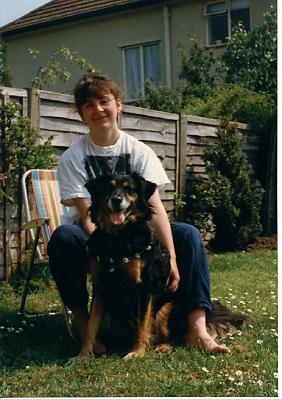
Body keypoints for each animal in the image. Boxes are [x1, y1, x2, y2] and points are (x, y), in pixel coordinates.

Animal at [75, 173, 251, 360]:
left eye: (130, 189)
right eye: (109, 187)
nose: (116, 200)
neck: (118, 237)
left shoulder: (145, 286)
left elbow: (142, 323)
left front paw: (137, 352)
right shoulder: (100, 285)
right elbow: (91, 325)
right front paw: (83, 355)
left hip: (168, 308)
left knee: (179, 337)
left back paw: (164, 346)